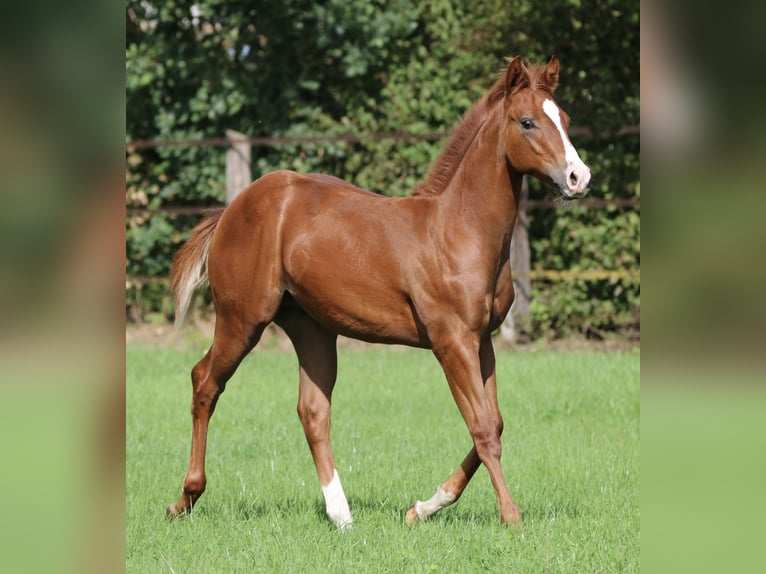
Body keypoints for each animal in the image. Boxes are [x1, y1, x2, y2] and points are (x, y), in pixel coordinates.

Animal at [165, 56, 591, 529]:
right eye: (527, 121)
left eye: (565, 119)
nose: (579, 177)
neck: (459, 229)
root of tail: (232, 208)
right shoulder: (452, 341)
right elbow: (482, 428)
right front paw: (510, 516)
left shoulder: (482, 341)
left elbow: (494, 423)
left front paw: (422, 508)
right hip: (242, 320)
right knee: (204, 381)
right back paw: (185, 498)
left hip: (312, 328)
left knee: (312, 411)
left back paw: (341, 515)